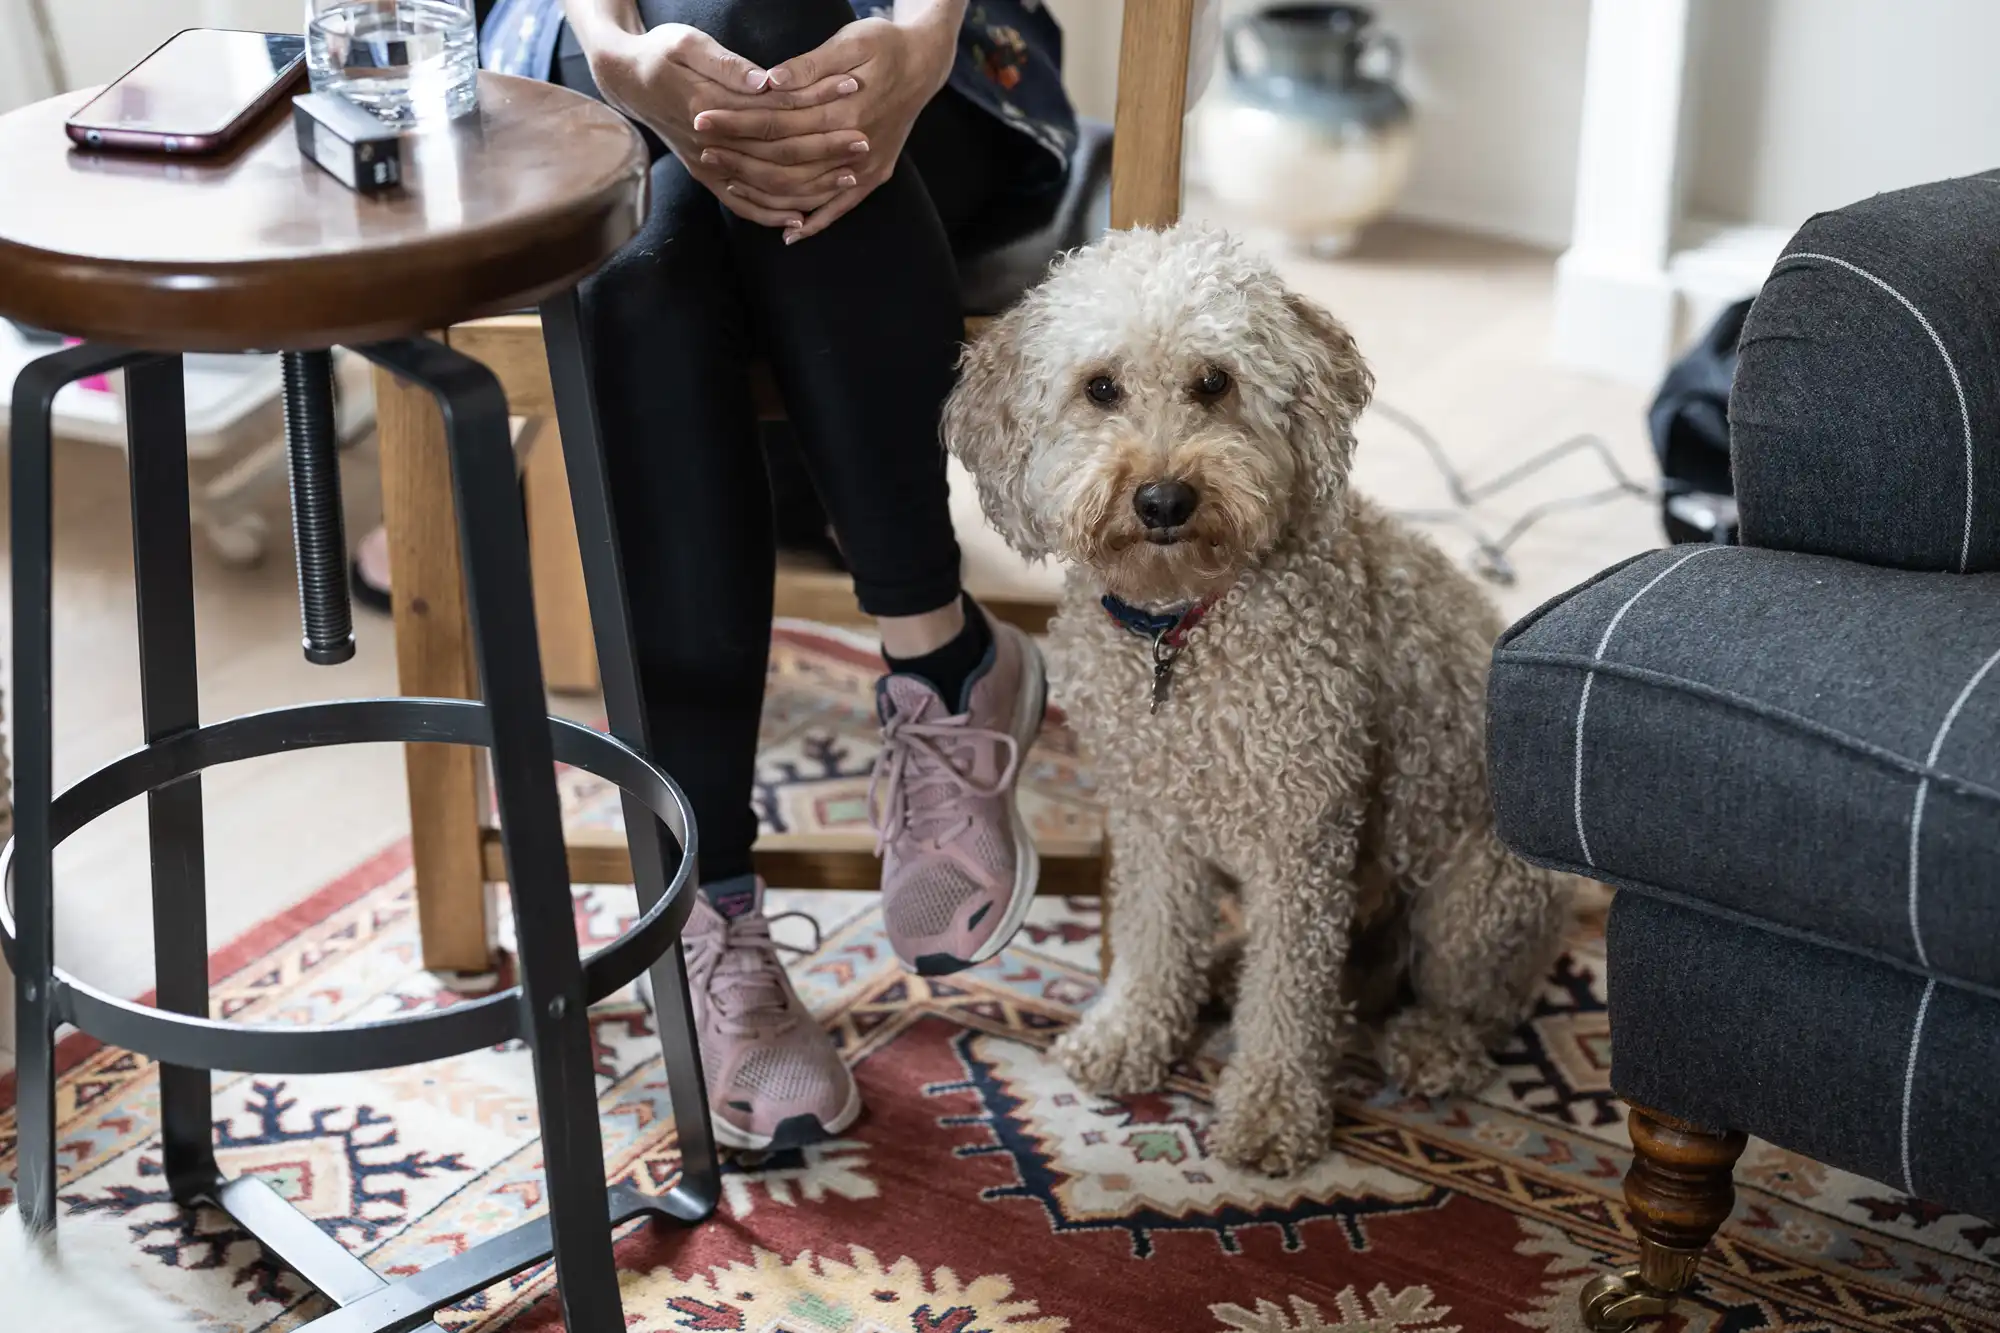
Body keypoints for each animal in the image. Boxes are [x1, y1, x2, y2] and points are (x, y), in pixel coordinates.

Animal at [944, 228, 1568, 1176]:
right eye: (1101, 387)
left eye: (1214, 381)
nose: (1164, 498)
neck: (1182, 627)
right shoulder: (1152, 819)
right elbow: (1154, 937)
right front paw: (1133, 1032)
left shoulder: (1302, 838)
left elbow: (1288, 997)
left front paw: (1274, 1108)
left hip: (1475, 900)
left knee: (1483, 999)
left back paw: (1433, 1042)